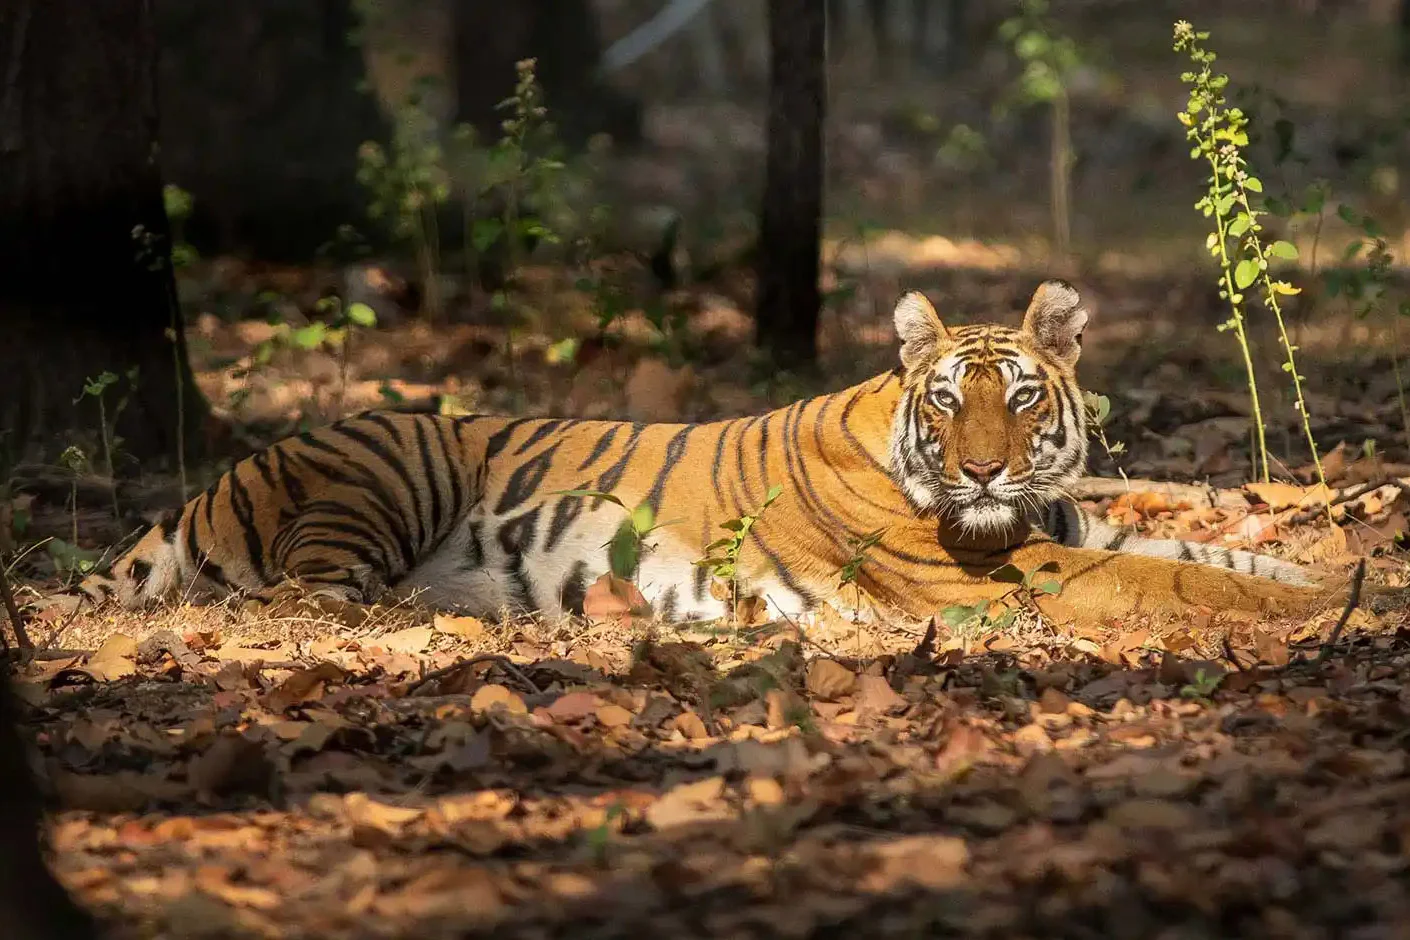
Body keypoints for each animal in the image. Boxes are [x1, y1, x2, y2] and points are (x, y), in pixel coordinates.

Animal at [71, 280, 1341, 628]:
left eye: (1022, 400)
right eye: (949, 402)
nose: (983, 473)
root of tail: (218, 481)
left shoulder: (1072, 520)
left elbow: (1225, 554)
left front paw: (1350, 583)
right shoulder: (1006, 571)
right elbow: (1177, 581)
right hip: (400, 456)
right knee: (301, 594)